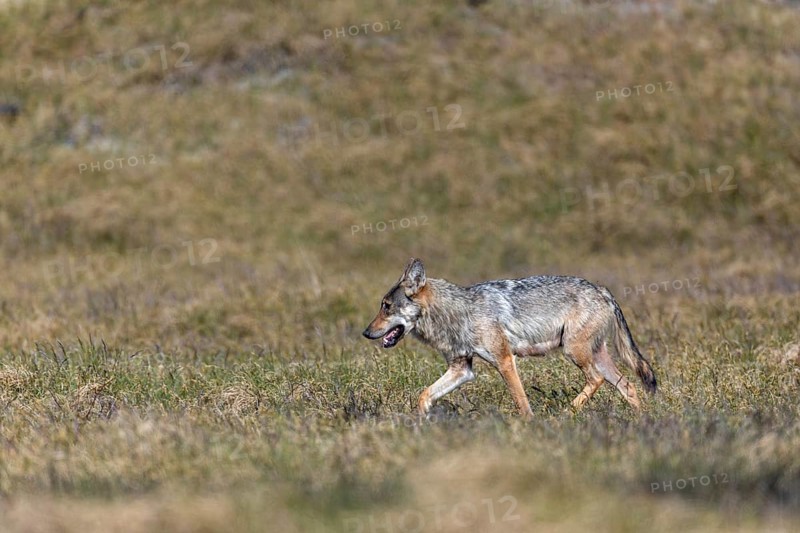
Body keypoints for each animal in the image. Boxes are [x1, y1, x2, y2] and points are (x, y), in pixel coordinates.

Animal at [363, 259, 657, 418]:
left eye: (386, 307)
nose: (366, 333)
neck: (459, 313)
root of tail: (601, 289)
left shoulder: (505, 360)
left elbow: (522, 402)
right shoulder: (462, 369)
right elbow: (424, 396)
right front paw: (422, 426)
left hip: (574, 352)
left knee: (596, 380)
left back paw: (566, 415)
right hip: (596, 357)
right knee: (628, 386)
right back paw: (645, 423)